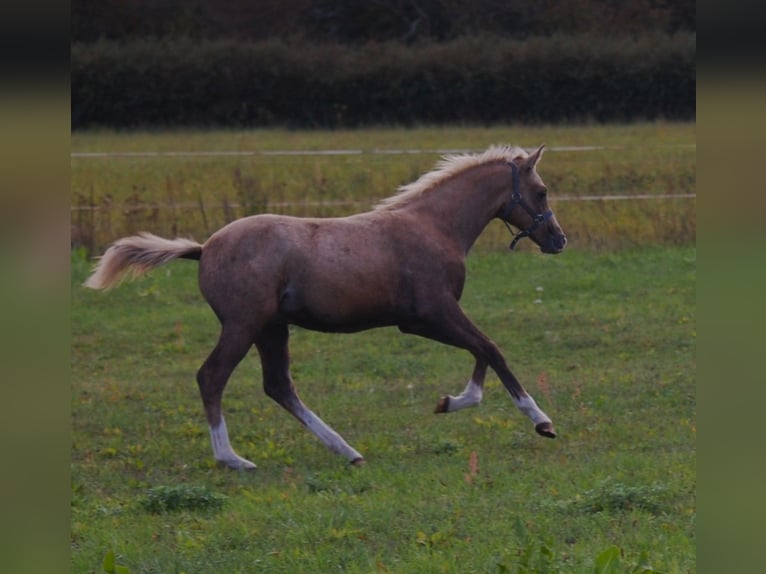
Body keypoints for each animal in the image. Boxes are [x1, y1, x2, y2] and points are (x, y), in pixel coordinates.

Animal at [85, 145, 564, 472]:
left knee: (278, 385)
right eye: (541, 192)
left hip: (271, 328)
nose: (559, 240)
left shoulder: (428, 320)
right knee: (213, 376)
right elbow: (492, 349)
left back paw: (347, 451)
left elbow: (482, 351)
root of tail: (204, 249)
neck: (433, 227)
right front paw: (540, 421)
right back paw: (233, 459)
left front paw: (451, 401)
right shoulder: (432, 314)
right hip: (243, 324)